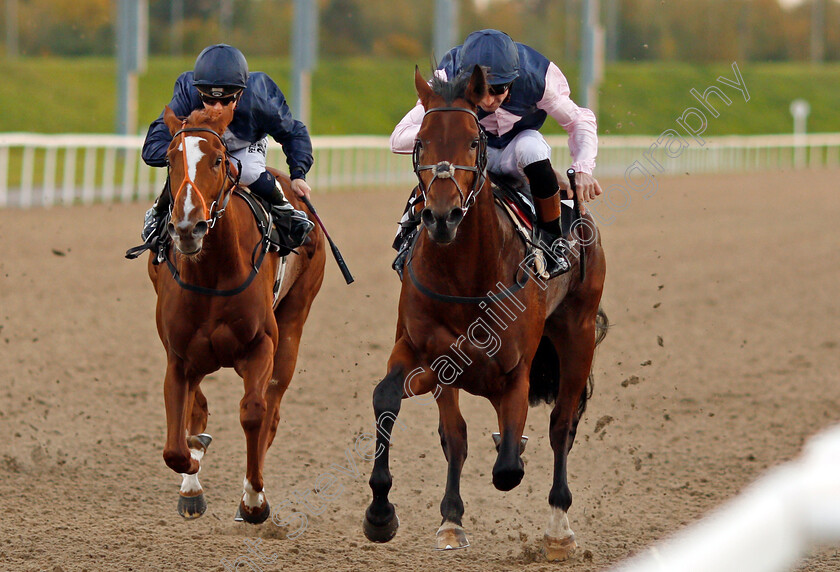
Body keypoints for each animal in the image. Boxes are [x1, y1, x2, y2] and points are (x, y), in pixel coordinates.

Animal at [148, 103, 324, 524]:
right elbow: (177, 442)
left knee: (272, 411)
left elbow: (254, 414)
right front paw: (192, 476)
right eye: (170, 159)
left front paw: (254, 500)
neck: (212, 274)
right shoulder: (179, 356)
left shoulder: (260, 345)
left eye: (216, 160)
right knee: (197, 410)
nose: (187, 226)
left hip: (294, 324)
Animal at [364, 63, 608, 560]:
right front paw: (387, 514)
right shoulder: (422, 352)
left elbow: (509, 467)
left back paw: (559, 528)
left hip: (578, 334)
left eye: (472, 142)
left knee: (561, 426)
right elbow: (397, 405)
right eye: (422, 142)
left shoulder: (516, 370)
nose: (441, 216)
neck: (466, 277)